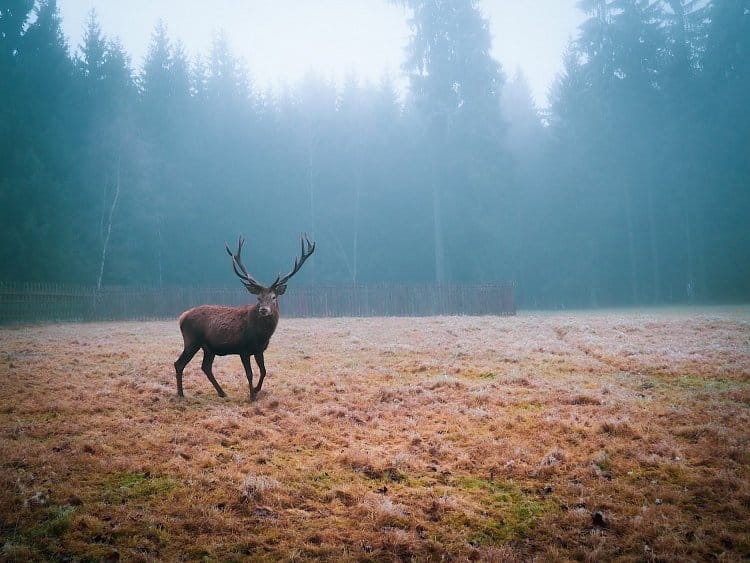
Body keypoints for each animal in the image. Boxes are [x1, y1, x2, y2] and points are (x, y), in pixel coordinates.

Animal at [175, 234, 316, 400]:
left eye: (273, 297)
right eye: (258, 298)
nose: (263, 310)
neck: (261, 335)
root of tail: (182, 317)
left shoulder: (259, 350)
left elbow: (264, 371)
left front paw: (256, 389)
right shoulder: (243, 349)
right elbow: (249, 374)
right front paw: (252, 397)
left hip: (208, 347)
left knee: (205, 367)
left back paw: (222, 392)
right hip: (192, 340)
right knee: (179, 363)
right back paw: (181, 394)